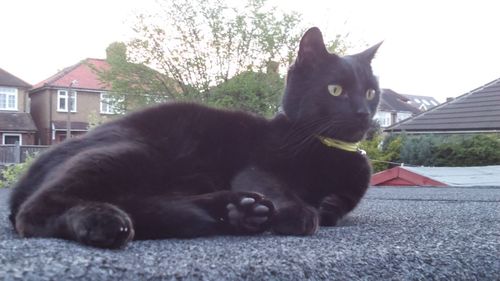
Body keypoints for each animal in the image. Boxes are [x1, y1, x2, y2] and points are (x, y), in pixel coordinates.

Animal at [9, 26, 380, 247]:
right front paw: (300, 212)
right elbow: (279, 187)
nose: (363, 112)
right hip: (132, 151)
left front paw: (328, 205)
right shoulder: (258, 166)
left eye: (371, 92)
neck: (331, 149)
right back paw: (103, 222)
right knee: (36, 211)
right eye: (335, 90)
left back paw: (239, 211)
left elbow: (341, 204)